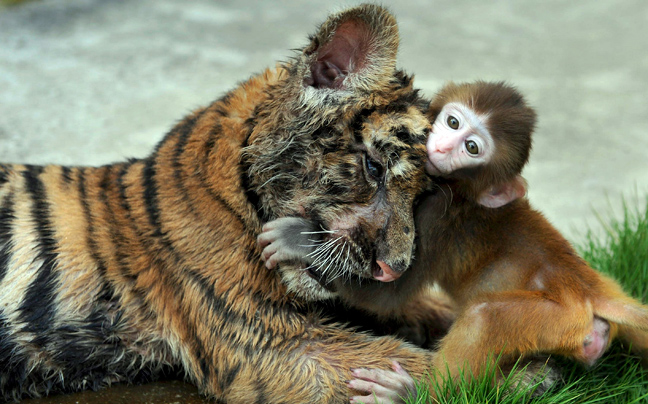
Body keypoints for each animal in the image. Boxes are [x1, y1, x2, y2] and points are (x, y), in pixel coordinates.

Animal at [256, 81, 648, 400]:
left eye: (471, 148)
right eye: (454, 123)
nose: (443, 148)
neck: (462, 192)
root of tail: (589, 287)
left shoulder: (435, 216)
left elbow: (386, 294)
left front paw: (299, 238)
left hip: (556, 318)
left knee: (484, 316)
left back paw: (414, 394)